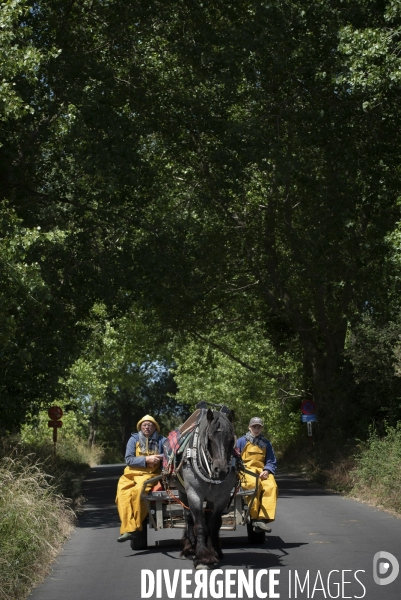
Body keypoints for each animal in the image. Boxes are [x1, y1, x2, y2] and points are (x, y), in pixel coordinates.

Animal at [174, 408, 234, 568]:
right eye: (210, 439)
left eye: (231, 440)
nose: (222, 470)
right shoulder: (194, 494)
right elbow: (200, 525)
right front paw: (202, 557)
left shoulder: (222, 497)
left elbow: (214, 524)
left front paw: (215, 552)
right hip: (182, 492)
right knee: (188, 517)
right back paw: (190, 548)